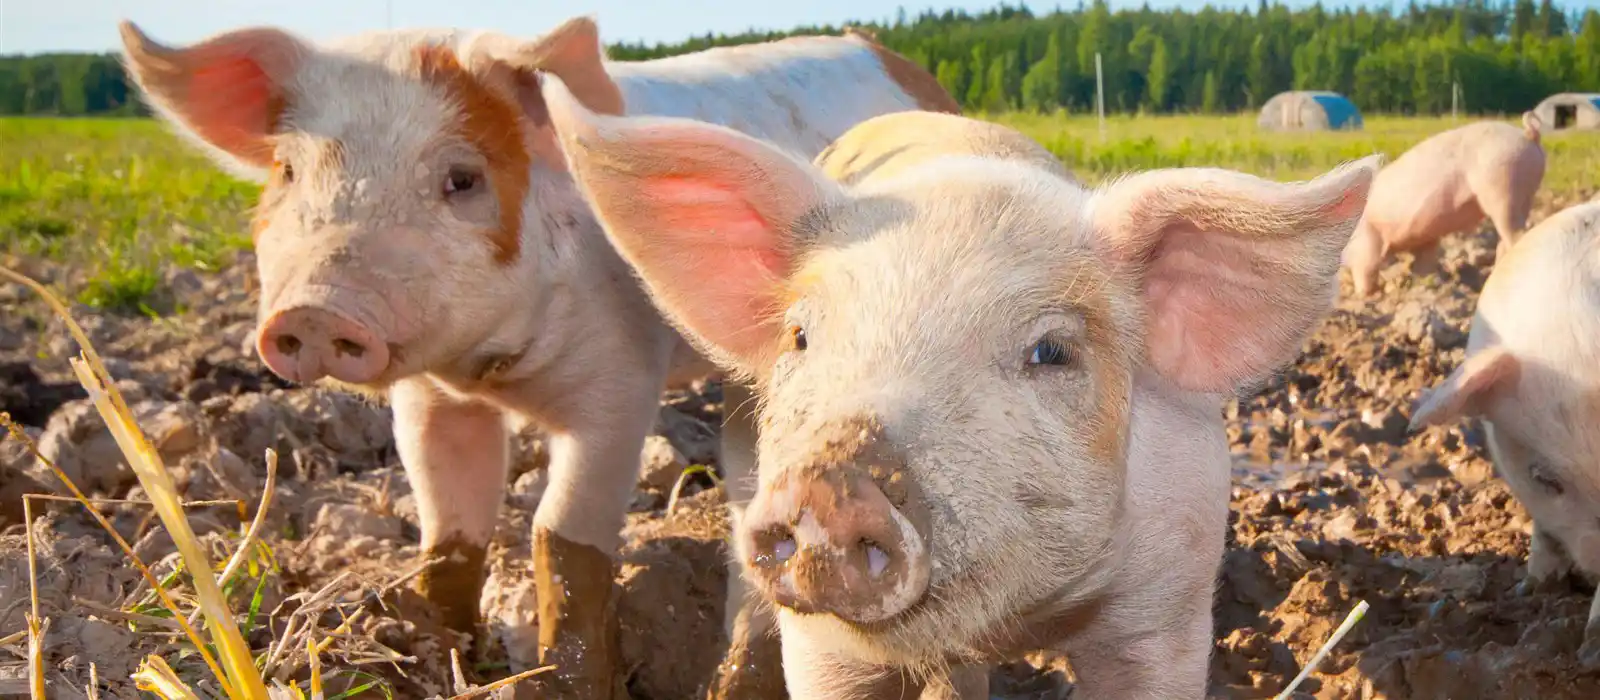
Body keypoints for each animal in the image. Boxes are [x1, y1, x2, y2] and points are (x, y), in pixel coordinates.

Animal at [116, 16, 960, 700]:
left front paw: (564, 680)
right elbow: (448, 528)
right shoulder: (430, 401)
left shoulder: (622, 384)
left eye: (461, 179)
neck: (494, 373)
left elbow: (561, 536)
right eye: (289, 173)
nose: (316, 312)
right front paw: (438, 648)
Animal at [547, 84, 1376, 696]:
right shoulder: (822, 646)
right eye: (802, 337)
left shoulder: (1168, 606)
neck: (1021, 620)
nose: (829, 487)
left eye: (1051, 351)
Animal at [1344, 111, 1542, 295]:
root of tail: (1528, 134)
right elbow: (1423, 264)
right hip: (1524, 194)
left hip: (1502, 190)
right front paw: (1424, 284)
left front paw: (1364, 296)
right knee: (1505, 241)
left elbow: (1366, 266)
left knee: (1516, 235)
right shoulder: (1425, 238)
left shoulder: (1366, 237)